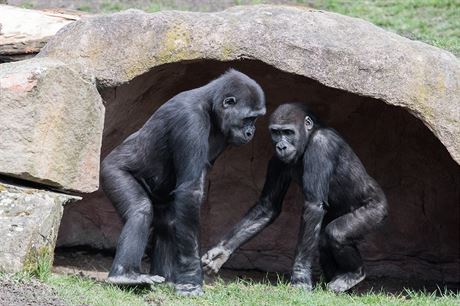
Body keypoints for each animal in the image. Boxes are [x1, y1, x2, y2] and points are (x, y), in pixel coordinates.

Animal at [100, 70, 266, 296]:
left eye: (255, 119)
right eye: (248, 118)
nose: (251, 132)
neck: (210, 105)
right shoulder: (191, 120)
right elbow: (190, 191)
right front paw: (191, 278)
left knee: (167, 222)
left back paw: (165, 279)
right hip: (111, 171)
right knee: (139, 209)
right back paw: (124, 275)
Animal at [203, 102, 386, 292]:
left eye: (288, 132)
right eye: (276, 133)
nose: (281, 146)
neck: (308, 138)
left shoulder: (321, 145)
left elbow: (313, 206)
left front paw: (300, 275)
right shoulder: (277, 160)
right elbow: (268, 206)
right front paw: (221, 252)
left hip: (375, 210)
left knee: (337, 234)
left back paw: (354, 273)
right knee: (323, 242)